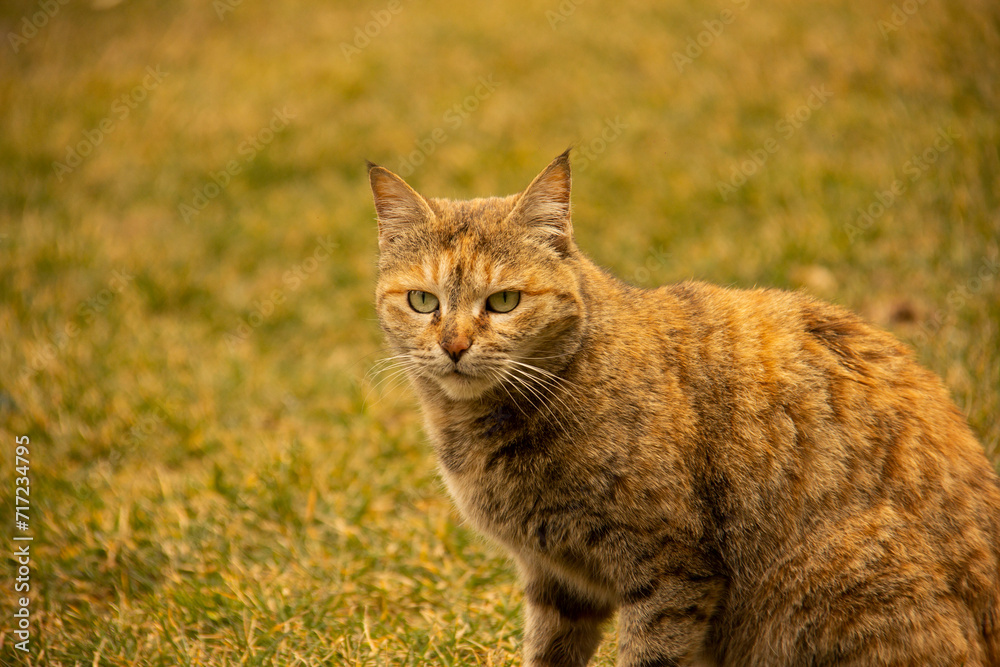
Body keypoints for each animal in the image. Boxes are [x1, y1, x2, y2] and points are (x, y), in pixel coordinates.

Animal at [368, 151, 1000, 667]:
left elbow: (651, 654)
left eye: (503, 301)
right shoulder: (557, 583)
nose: (453, 346)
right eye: (422, 300)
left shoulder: (671, 568)